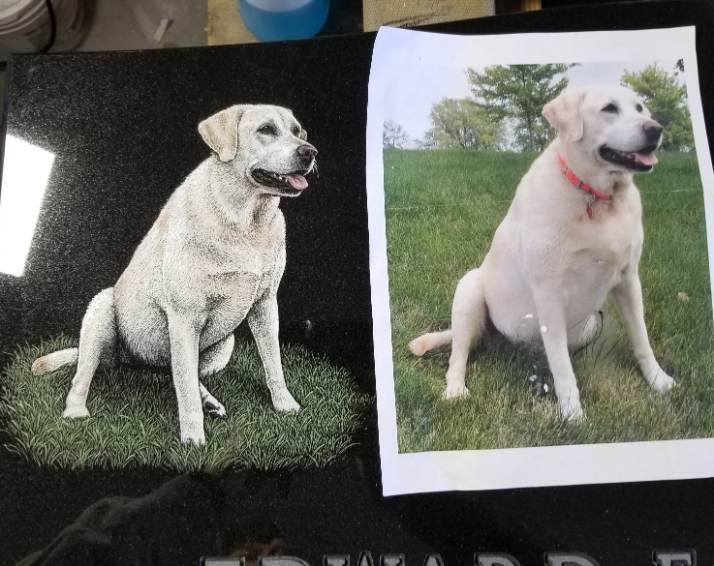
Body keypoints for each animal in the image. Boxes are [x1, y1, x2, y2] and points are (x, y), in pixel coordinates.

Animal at [32, 104, 318, 446]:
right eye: (266, 129)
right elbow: (184, 388)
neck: (245, 221)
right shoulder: (185, 318)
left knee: (182, 374)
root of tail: (134, 362)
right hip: (100, 311)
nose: (310, 152)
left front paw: (285, 404)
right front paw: (193, 439)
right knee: (84, 374)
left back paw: (210, 401)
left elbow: (273, 361)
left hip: (224, 344)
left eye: (297, 131)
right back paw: (75, 410)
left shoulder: (265, 305)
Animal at [408, 85, 672, 422]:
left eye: (640, 108)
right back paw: (455, 390)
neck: (596, 198)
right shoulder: (549, 294)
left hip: (589, 325)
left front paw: (659, 381)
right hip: (469, 288)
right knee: (459, 352)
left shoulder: (628, 279)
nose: (656, 129)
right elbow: (562, 367)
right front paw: (573, 416)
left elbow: (641, 338)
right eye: (609, 109)